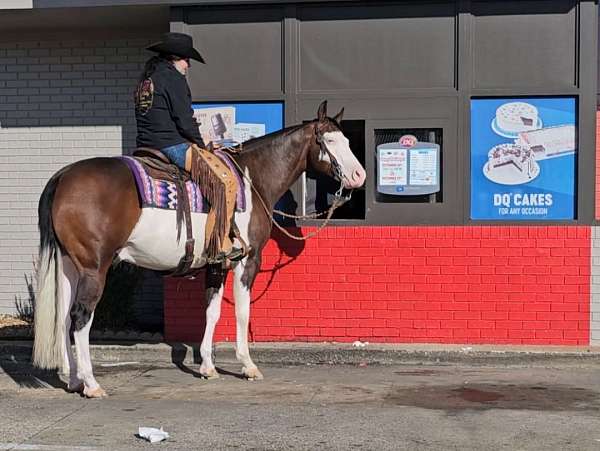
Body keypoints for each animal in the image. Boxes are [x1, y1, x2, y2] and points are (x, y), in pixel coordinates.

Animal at [32, 100, 366, 398]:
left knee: (64, 318)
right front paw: (248, 365)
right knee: (80, 317)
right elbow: (242, 311)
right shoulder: (248, 261)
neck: (252, 179)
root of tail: (63, 176)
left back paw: (73, 379)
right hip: (94, 268)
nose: (359, 176)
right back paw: (91, 384)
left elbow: (212, 311)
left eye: (348, 140)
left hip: (70, 266)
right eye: (330, 140)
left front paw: (207, 366)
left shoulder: (218, 263)